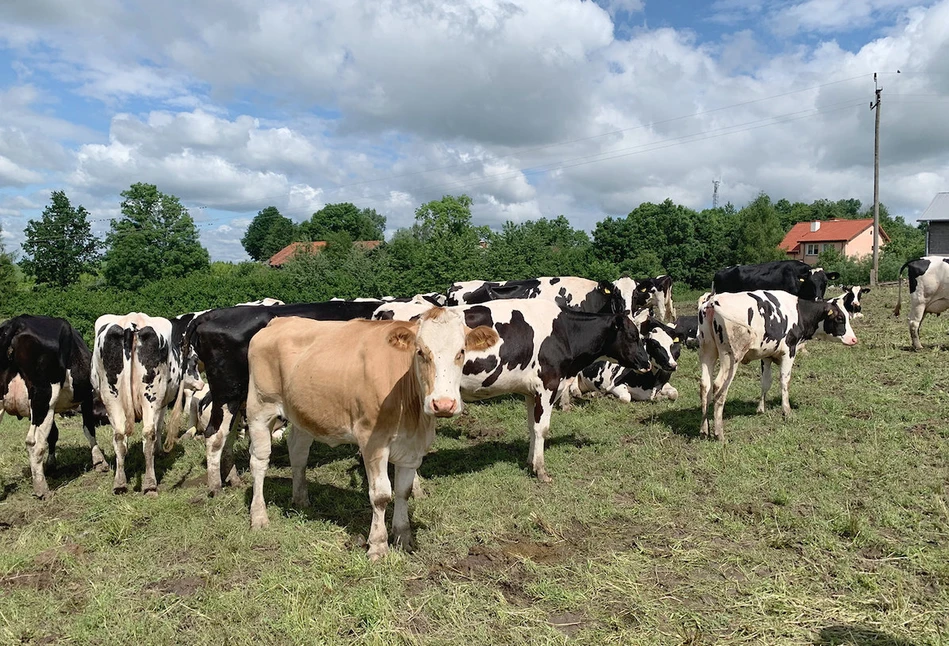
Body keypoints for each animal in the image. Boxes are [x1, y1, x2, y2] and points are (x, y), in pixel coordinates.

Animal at [0, 316, 109, 498]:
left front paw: (51, 464)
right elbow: (89, 428)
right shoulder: (86, 397)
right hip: (45, 394)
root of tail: (18, 322)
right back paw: (42, 489)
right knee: (34, 443)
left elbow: (53, 434)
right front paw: (99, 461)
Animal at [244, 312, 496, 560]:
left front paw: (404, 537)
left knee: (298, 453)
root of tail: (279, 320)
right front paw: (378, 545)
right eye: (420, 351)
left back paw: (300, 500)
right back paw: (259, 516)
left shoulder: (413, 448)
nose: (443, 404)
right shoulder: (372, 441)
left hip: (303, 413)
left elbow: (403, 492)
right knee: (259, 462)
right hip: (259, 409)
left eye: (461, 352)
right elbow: (381, 495)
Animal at [378, 302, 652, 484]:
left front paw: (531, 462)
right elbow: (542, 428)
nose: (647, 362)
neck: (563, 332)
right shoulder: (547, 385)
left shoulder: (531, 391)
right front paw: (541, 471)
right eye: (632, 335)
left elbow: (532, 427)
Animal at [696, 292, 860, 442]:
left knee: (705, 386)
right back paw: (719, 433)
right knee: (718, 387)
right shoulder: (789, 350)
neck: (798, 312)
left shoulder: (767, 356)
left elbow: (766, 383)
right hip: (730, 357)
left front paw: (761, 409)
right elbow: (784, 380)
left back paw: (704, 429)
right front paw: (787, 411)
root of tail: (713, 300)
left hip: (708, 352)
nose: (854, 339)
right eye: (839, 318)